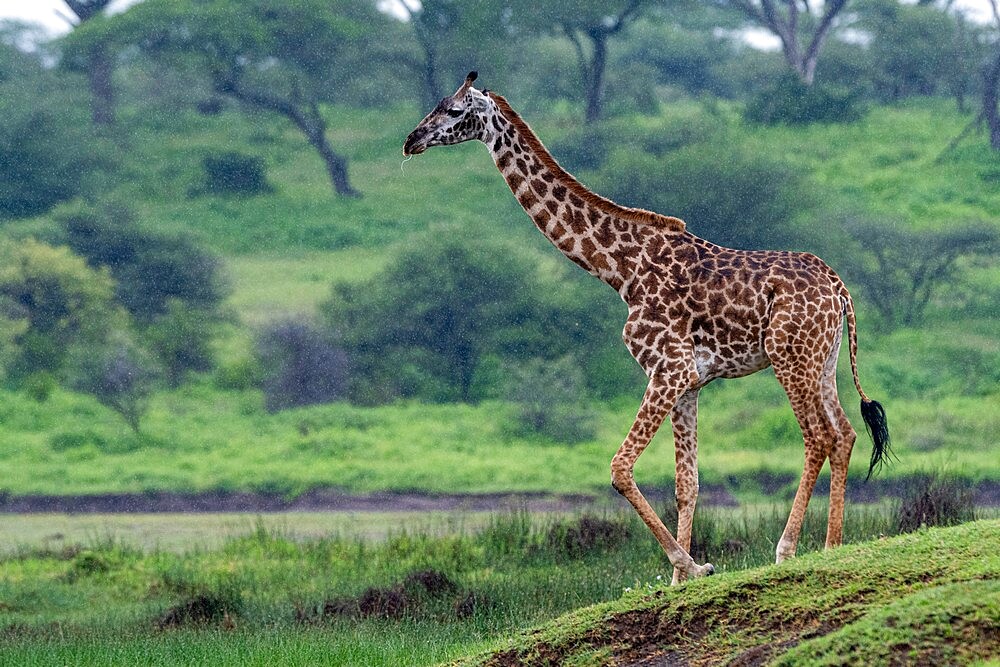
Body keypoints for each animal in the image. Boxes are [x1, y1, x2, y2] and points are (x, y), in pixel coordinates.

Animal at [402, 73, 896, 584]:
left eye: (455, 110)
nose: (411, 140)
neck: (620, 270)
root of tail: (840, 289)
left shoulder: (668, 369)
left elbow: (620, 468)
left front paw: (691, 565)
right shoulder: (689, 381)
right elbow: (686, 482)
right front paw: (682, 579)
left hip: (789, 356)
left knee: (818, 437)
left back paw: (787, 549)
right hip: (822, 359)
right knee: (844, 434)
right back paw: (832, 545)